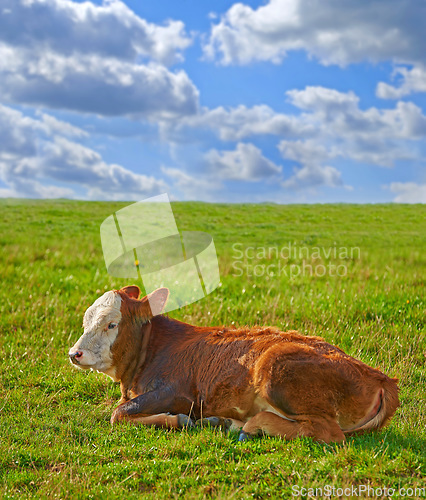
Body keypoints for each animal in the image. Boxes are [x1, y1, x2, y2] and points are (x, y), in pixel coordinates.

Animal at [70, 286, 400, 442]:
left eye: (112, 324)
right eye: (86, 320)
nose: (75, 354)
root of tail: (380, 376)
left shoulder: (181, 394)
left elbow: (119, 413)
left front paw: (179, 420)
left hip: (275, 369)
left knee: (328, 433)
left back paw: (251, 425)